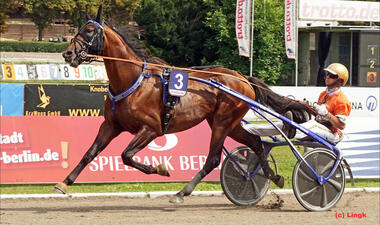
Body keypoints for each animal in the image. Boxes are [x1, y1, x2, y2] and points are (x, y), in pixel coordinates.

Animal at [57, 5, 314, 203]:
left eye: (90, 31)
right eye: (79, 29)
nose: (67, 54)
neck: (133, 81)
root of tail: (241, 78)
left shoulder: (151, 129)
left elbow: (126, 155)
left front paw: (159, 169)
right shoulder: (111, 125)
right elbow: (90, 153)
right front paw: (64, 182)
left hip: (223, 122)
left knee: (213, 159)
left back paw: (182, 192)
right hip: (227, 123)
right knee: (256, 143)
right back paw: (272, 176)